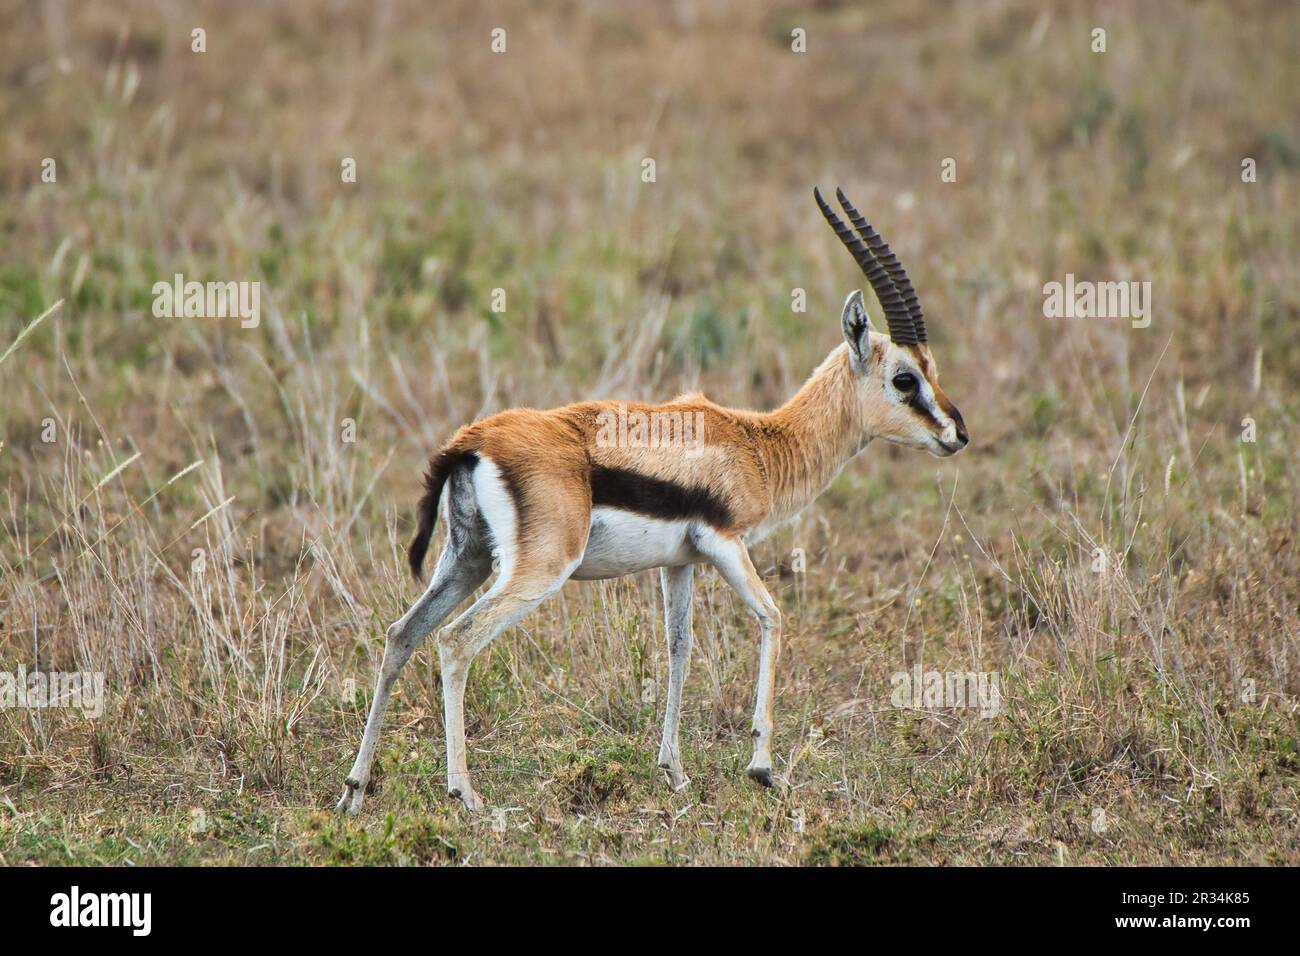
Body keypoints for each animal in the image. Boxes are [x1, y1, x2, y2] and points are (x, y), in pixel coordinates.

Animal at [337, 187, 968, 814]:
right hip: (537, 570)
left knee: (402, 634)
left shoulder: (679, 563)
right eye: (905, 378)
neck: (758, 444)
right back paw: (466, 794)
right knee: (455, 641)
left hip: (466, 560)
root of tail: (472, 441)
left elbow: (678, 649)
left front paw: (676, 772)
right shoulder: (726, 543)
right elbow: (772, 617)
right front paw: (762, 767)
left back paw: (354, 791)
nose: (957, 433)